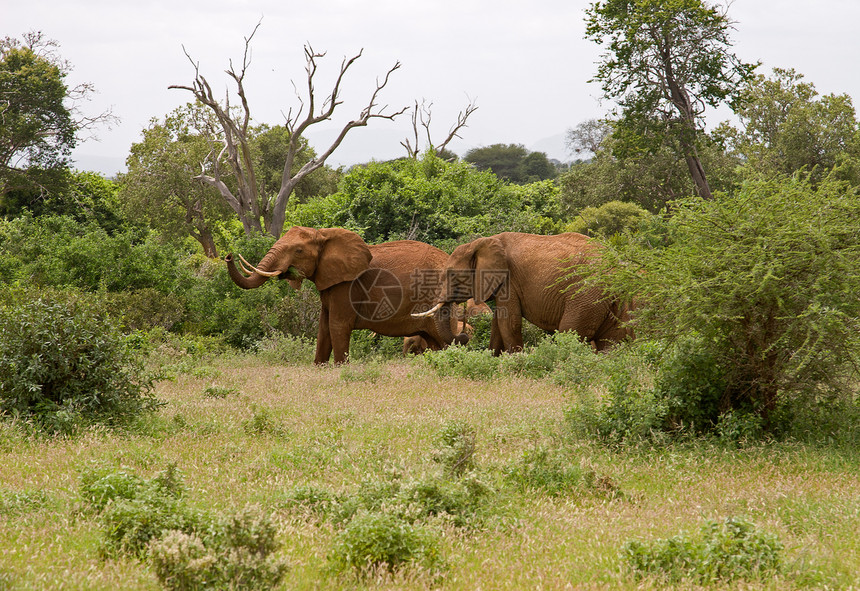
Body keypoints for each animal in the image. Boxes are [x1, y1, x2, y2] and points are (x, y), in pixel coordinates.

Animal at [227, 227, 464, 366]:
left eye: (298, 251)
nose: (228, 256)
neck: (323, 234)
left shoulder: (347, 286)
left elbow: (337, 326)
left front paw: (340, 367)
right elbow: (323, 327)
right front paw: (319, 367)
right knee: (435, 341)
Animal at [414, 230, 636, 352]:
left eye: (452, 274)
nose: (463, 334)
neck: (481, 243)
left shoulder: (509, 280)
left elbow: (508, 323)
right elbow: (498, 323)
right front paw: (492, 359)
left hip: (586, 295)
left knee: (570, 332)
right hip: (612, 299)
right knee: (613, 340)